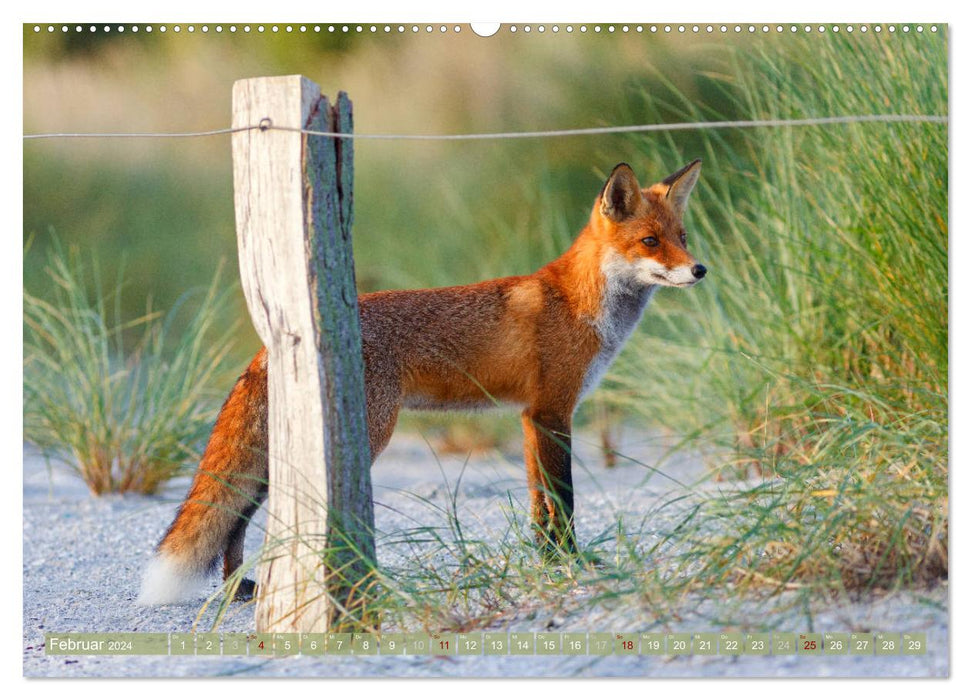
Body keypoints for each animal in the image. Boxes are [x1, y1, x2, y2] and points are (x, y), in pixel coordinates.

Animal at [139, 161, 708, 604]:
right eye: (650, 242)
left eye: (682, 239)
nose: (699, 269)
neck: (580, 303)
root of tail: (273, 341)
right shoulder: (554, 411)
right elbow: (563, 500)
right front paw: (572, 561)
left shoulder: (531, 416)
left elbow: (538, 505)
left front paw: (547, 561)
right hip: (366, 433)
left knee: (234, 518)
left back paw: (238, 588)